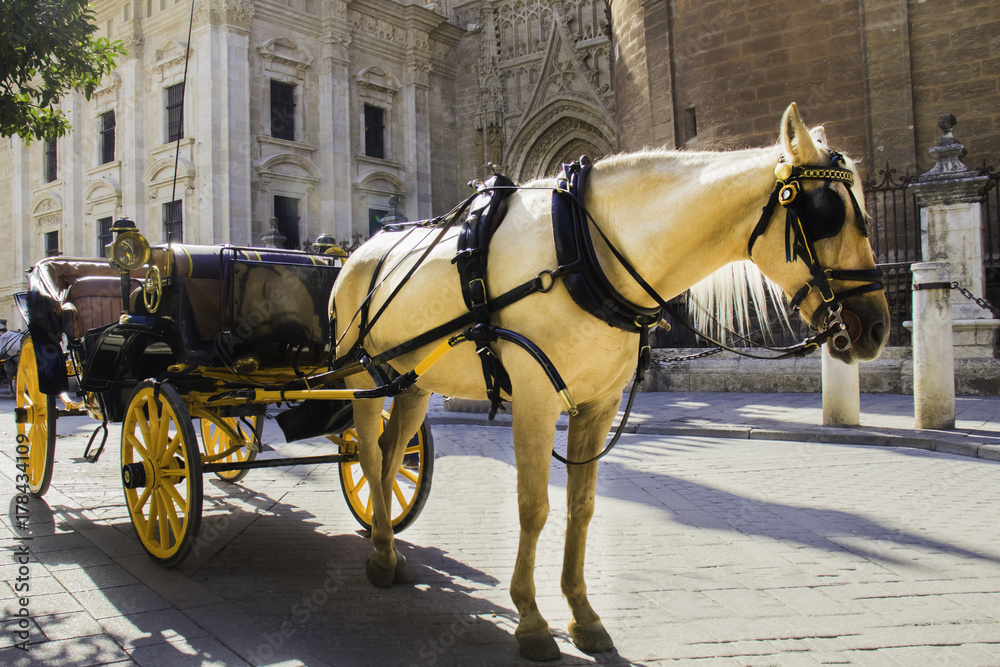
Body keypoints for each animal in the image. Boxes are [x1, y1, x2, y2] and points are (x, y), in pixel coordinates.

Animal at [332, 104, 888, 664]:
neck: (582, 248)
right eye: (827, 212)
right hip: (358, 376)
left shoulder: (597, 405)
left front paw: (583, 615)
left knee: (388, 456)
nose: (877, 326)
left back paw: (385, 544)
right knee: (370, 456)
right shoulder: (534, 402)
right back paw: (381, 556)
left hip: (411, 385)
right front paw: (531, 620)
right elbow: (533, 507)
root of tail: (359, 251)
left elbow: (581, 508)